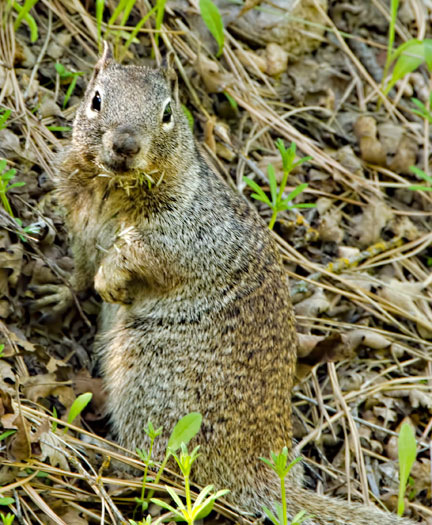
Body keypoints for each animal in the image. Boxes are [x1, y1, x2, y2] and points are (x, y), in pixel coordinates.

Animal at [54, 45, 416, 524]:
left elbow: (144, 254)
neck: (112, 187)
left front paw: (112, 280)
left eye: (168, 113)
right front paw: (60, 293)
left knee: (159, 460)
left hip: (149, 372)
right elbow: (79, 269)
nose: (125, 144)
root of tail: (258, 470)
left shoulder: (189, 233)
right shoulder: (79, 225)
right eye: (95, 99)